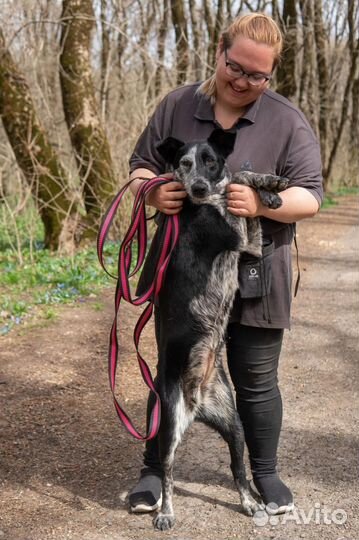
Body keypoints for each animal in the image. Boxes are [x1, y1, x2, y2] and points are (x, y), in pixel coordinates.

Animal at [150, 129, 288, 528]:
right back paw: (165, 513)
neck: (203, 203)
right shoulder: (237, 237)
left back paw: (251, 503)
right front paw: (260, 188)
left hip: (235, 425)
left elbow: (241, 179)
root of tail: (196, 403)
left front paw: (269, 188)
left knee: (238, 469)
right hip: (168, 424)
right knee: (167, 473)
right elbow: (236, 180)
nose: (197, 187)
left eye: (210, 160)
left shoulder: (252, 247)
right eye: (184, 163)